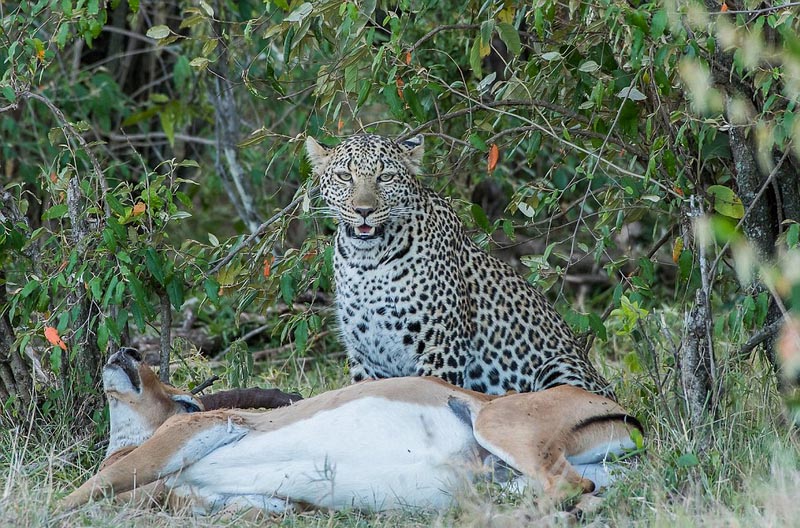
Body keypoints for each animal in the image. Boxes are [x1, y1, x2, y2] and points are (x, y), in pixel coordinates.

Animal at [304, 134, 612, 398]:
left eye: (385, 177)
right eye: (345, 176)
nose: (363, 210)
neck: (366, 263)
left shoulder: (441, 348)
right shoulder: (367, 359)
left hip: (559, 366)